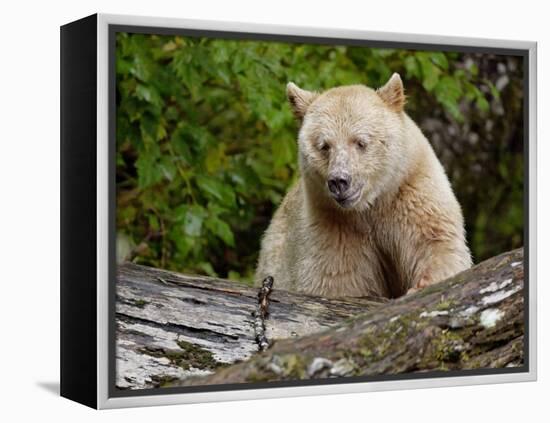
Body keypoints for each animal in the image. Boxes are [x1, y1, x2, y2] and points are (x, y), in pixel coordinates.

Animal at [256, 73, 474, 300]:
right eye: (324, 146)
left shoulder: (412, 191)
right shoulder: (332, 225)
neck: (370, 205)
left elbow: (437, 244)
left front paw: (421, 286)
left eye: (360, 142)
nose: (339, 181)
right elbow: (336, 278)